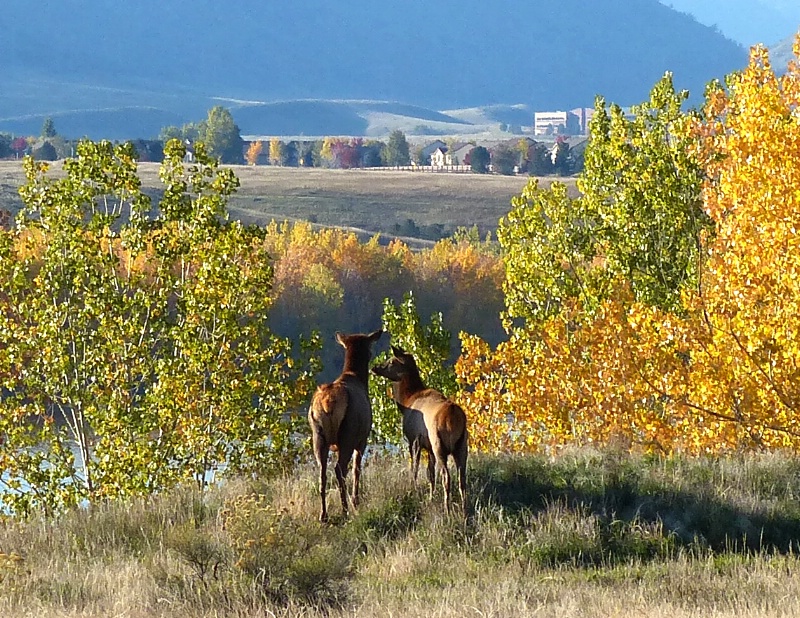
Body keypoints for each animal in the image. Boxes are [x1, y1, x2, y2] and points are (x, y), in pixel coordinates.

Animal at [308, 328, 382, 520]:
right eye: (370, 349)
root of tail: (327, 403)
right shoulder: (362, 439)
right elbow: (357, 469)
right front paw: (356, 501)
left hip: (318, 435)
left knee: (322, 472)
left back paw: (323, 514)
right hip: (348, 433)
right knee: (339, 469)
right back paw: (345, 509)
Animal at [374, 346, 468, 510]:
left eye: (391, 361)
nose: (375, 367)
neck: (407, 400)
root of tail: (453, 417)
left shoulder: (414, 439)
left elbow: (415, 469)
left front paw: (414, 490)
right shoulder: (428, 447)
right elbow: (430, 474)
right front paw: (430, 497)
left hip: (439, 444)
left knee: (446, 476)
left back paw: (447, 508)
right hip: (462, 444)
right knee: (462, 478)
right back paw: (464, 508)